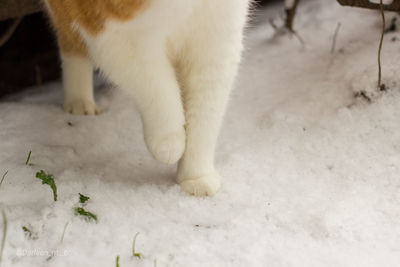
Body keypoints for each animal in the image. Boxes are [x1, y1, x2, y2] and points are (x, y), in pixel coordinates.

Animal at [43, 0, 250, 197]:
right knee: (70, 41)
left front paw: (196, 177)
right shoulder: (114, 36)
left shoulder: (217, 41)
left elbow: (205, 117)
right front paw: (168, 142)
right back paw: (78, 102)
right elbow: (159, 87)